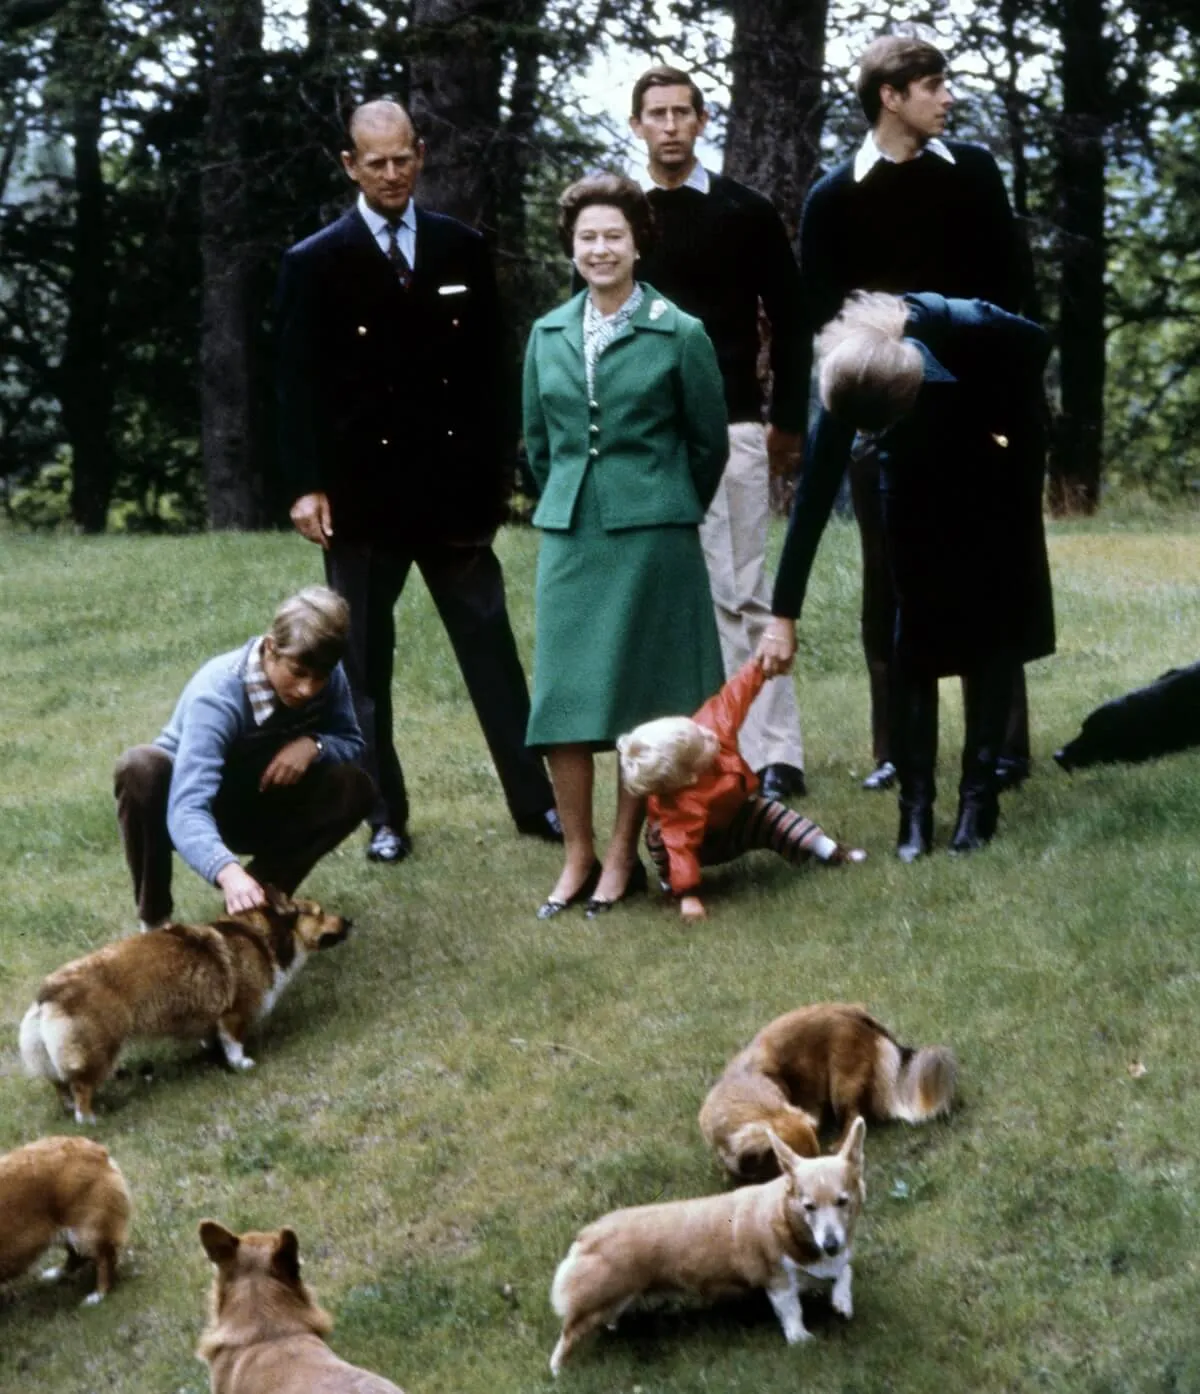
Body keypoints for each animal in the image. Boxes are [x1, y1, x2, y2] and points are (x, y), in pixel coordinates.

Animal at [0, 1131, 131, 1304]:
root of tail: (97, 1150)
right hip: (69, 1231)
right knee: (77, 1256)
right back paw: (55, 1274)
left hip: (85, 1231)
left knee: (104, 1259)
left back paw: (97, 1295)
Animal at [19, 886, 347, 1126]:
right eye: (320, 912)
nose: (350, 922)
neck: (262, 937)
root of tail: (48, 994)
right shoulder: (234, 1013)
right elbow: (233, 1043)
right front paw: (241, 1063)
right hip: (98, 1051)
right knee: (81, 1087)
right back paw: (88, 1119)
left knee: (60, 1084)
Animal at [549, 1120, 864, 1371]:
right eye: (809, 1206)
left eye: (842, 1201)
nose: (831, 1244)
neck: (789, 1222)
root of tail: (588, 1235)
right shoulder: (777, 1280)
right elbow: (791, 1310)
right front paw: (801, 1340)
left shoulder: (829, 1265)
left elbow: (846, 1272)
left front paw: (842, 1303)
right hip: (595, 1302)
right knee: (568, 1334)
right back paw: (558, 1371)